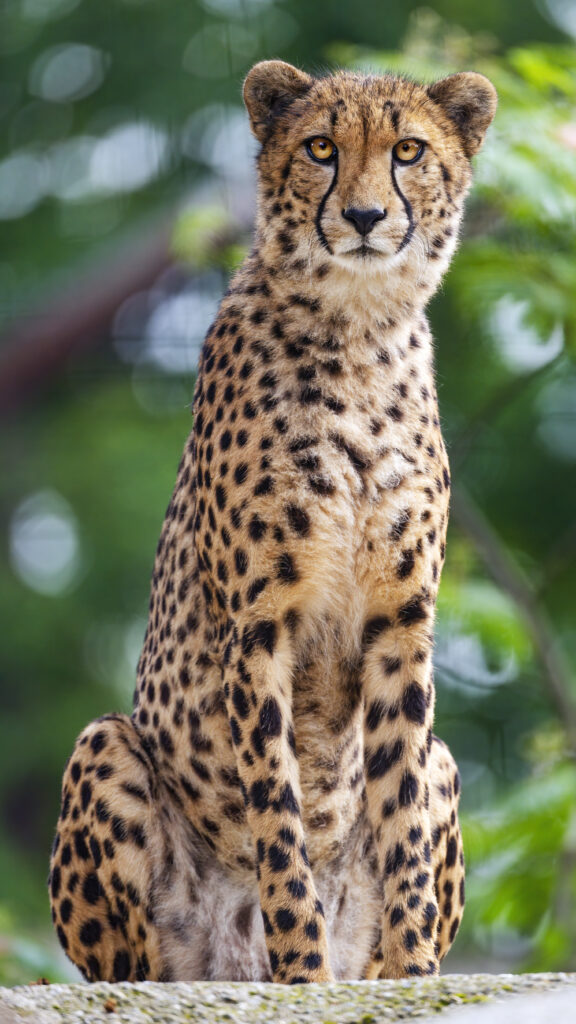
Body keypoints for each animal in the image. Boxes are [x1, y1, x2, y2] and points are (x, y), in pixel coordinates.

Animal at [48, 59, 497, 985]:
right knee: (139, 965)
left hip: (445, 760)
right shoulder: (259, 628)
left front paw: (410, 975)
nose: (363, 216)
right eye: (321, 148)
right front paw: (305, 974)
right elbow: (279, 820)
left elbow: (399, 813)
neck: (360, 331)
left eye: (408, 151)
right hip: (106, 752)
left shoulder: (402, 624)